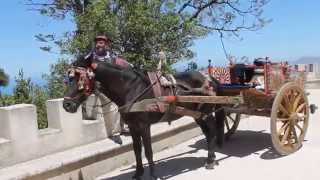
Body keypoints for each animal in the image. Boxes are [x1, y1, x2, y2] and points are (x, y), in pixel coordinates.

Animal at [62, 61, 225, 179]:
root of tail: (209, 78)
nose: (66, 104)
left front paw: (152, 174)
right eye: (70, 79)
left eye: (81, 80)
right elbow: (136, 150)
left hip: (206, 112)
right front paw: (138, 173)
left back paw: (210, 160)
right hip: (197, 115)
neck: (131, 88)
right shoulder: (133, 127)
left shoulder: (144, 126)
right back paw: (211, 157)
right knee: (207, 132)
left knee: (212, 131)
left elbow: (148, 151)